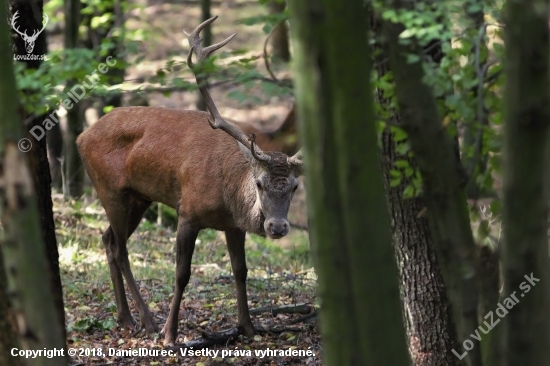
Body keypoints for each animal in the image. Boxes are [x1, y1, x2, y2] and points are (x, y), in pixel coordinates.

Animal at [76, 16, 304, 346]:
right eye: (259, 183)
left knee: (107, 240)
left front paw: (248, 327)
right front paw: (171, 334)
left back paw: (125, 318)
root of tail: (81, 137)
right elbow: (182, 273)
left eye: (294, 186)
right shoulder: (188, 213)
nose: (276, 227)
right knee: (120, 249)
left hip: (138, 198)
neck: (227, 193)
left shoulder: (233, 225)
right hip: (109, 190)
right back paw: (147, 321)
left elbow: (241, 270)